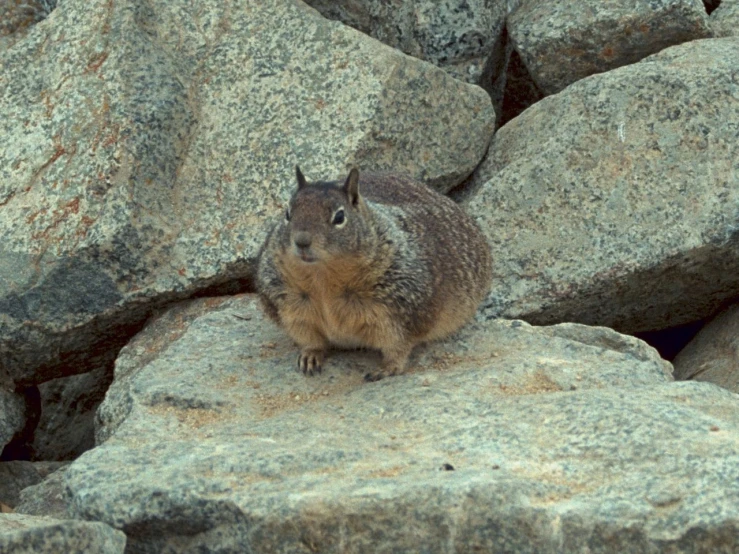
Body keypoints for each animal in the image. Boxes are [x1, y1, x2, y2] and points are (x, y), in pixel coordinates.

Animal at [258, 165, 494, 380]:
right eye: (288, 213)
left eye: (339, 217)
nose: (302, 241)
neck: (322, 278)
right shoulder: (290, 308)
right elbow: (309, 338)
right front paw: (310, 356)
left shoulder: (398, 311)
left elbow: (398, 345)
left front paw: (387, 368)